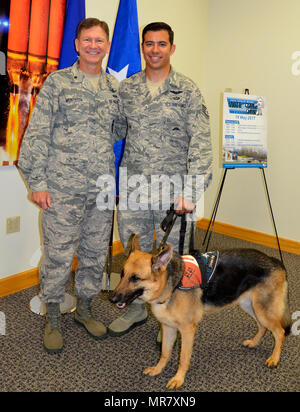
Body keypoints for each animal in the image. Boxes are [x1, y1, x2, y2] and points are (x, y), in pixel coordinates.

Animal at [109, 235, 290, 390]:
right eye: (123, 274)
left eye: (135, 278)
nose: (111, 298)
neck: (172, 285)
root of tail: (274, 261)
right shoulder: (168, 327)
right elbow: (165, 353)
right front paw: (157, 369)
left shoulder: (187, 330)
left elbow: (183, 358)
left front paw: (178, 379)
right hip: (250, 306)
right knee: (263, 327)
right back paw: (253, 343)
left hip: (262, 309)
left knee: (280, 332)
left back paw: (274, 358)